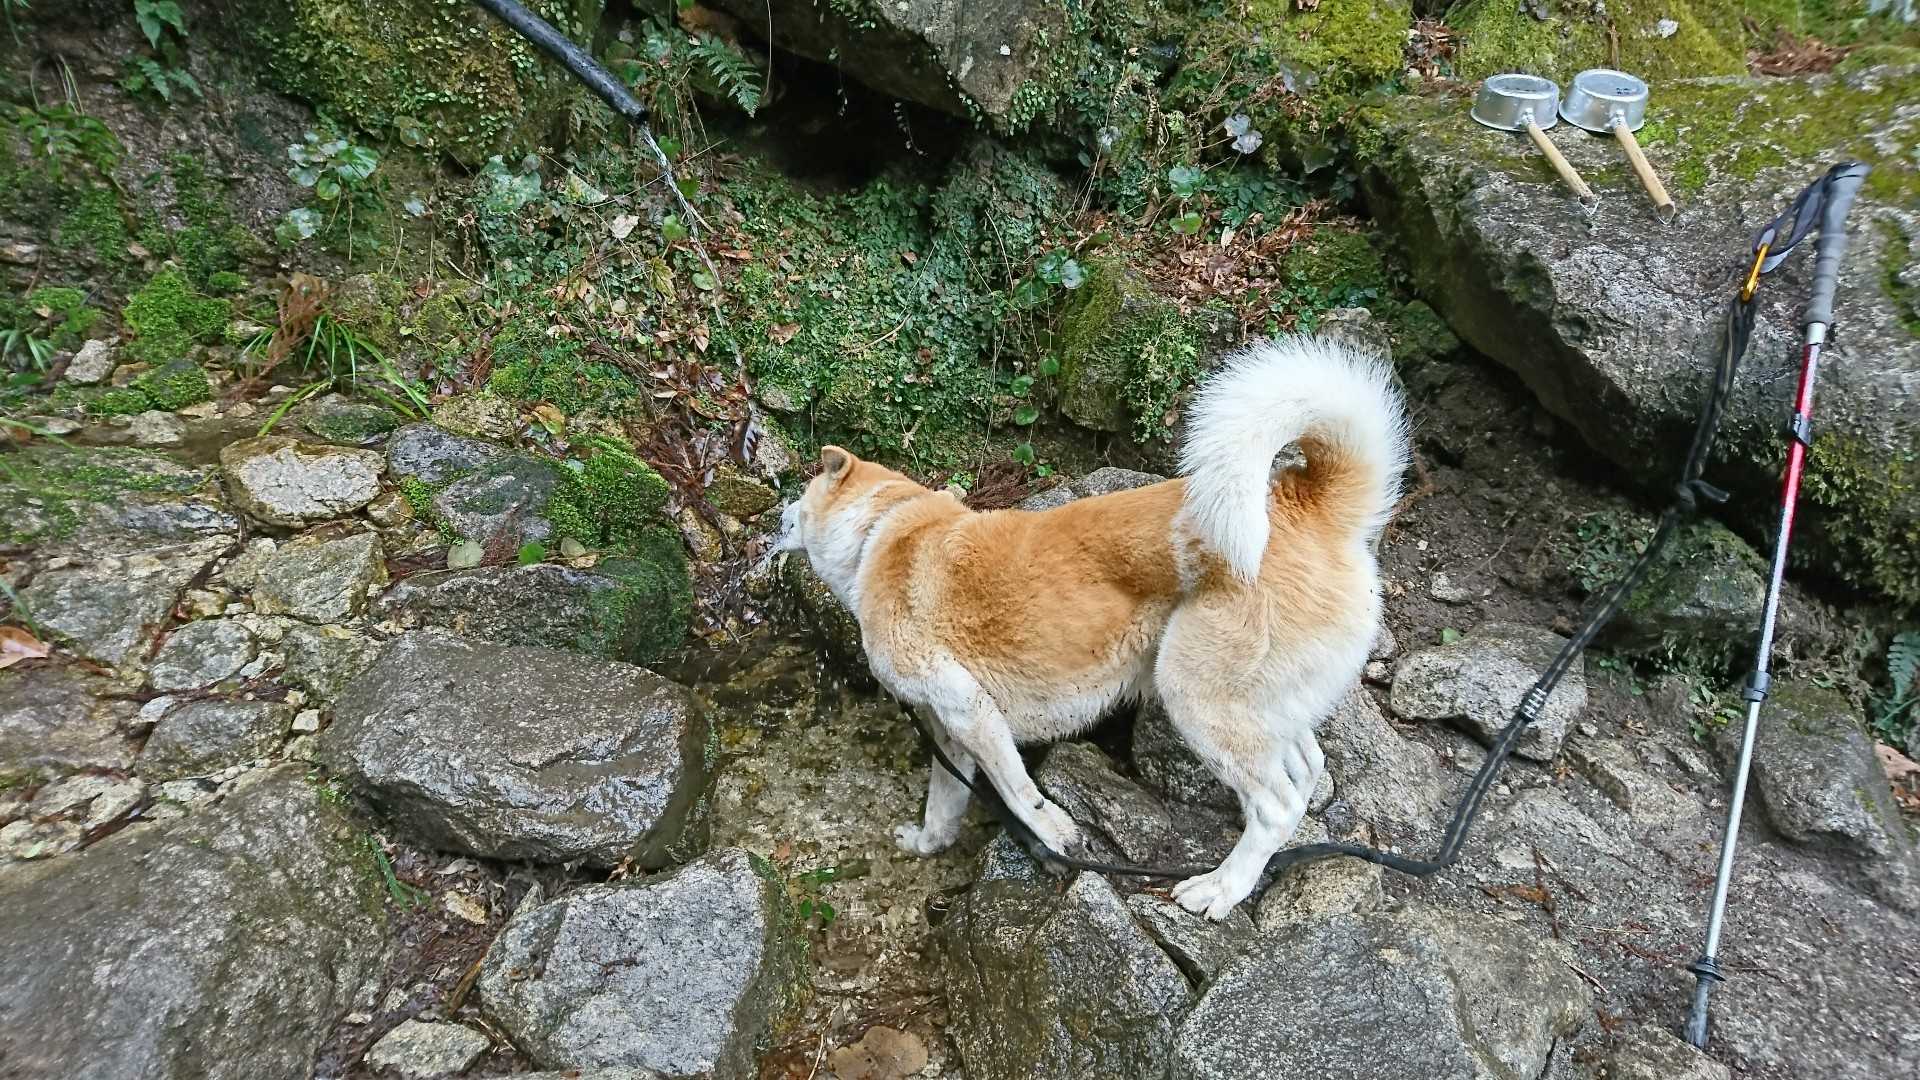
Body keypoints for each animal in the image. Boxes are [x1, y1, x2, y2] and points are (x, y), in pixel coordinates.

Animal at [775, 334, 1410, 919]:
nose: (778, 514)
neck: (879, 532)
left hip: (1196, 694)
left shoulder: (968, 710)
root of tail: (1312, 505)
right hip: (1263, 707)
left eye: (799, 499)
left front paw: (1057, 836)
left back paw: (1219, 889)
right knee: (1305, 774)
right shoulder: (951, 729)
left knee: (1275, 804)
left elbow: (1019, 793)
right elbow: (944, 802)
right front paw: (928, 843)